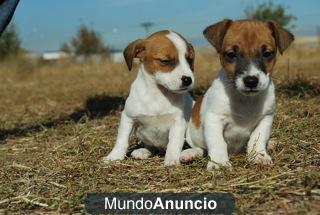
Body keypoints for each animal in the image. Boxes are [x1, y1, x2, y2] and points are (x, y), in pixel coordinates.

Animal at [103, 29, 195, 166]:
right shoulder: (128, 117)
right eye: (165, 61)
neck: (157, 94)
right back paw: (143, 151)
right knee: (150, 146)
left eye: (189, 59)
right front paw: (114, 156)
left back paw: (189, 154)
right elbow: (122, 139)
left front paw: (172, 159)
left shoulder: (178, 122)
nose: (188, 80)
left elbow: (174, 143)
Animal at [179, 19, 294, 170]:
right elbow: (218, 143)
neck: (245, 100)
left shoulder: (266, 118)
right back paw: (189, 153)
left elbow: (257, 138)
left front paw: (259, 156)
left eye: (267, 53)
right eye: (231, 54)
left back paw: (271, 143)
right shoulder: (214, 119)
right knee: (201, 148)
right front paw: (219, 163)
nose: (251, 81)